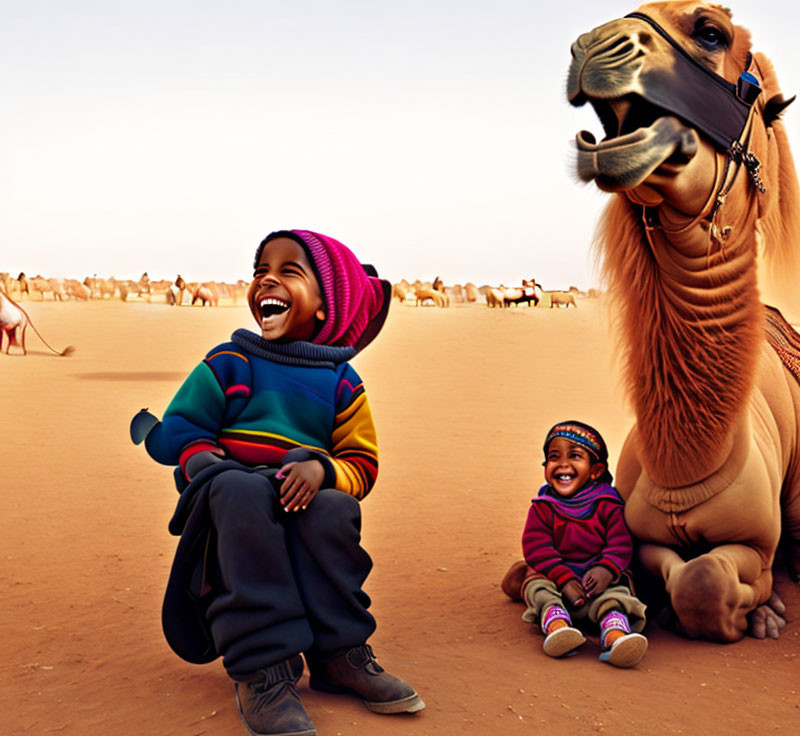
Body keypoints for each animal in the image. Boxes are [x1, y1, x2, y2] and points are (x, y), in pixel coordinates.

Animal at [564, 1, 800, 644]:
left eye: (711, 32)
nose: (591, 46)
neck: (688, 465)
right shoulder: (640, 533)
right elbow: (665, 569)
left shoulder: (756, 543)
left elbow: (707, 579)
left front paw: (764, 611)